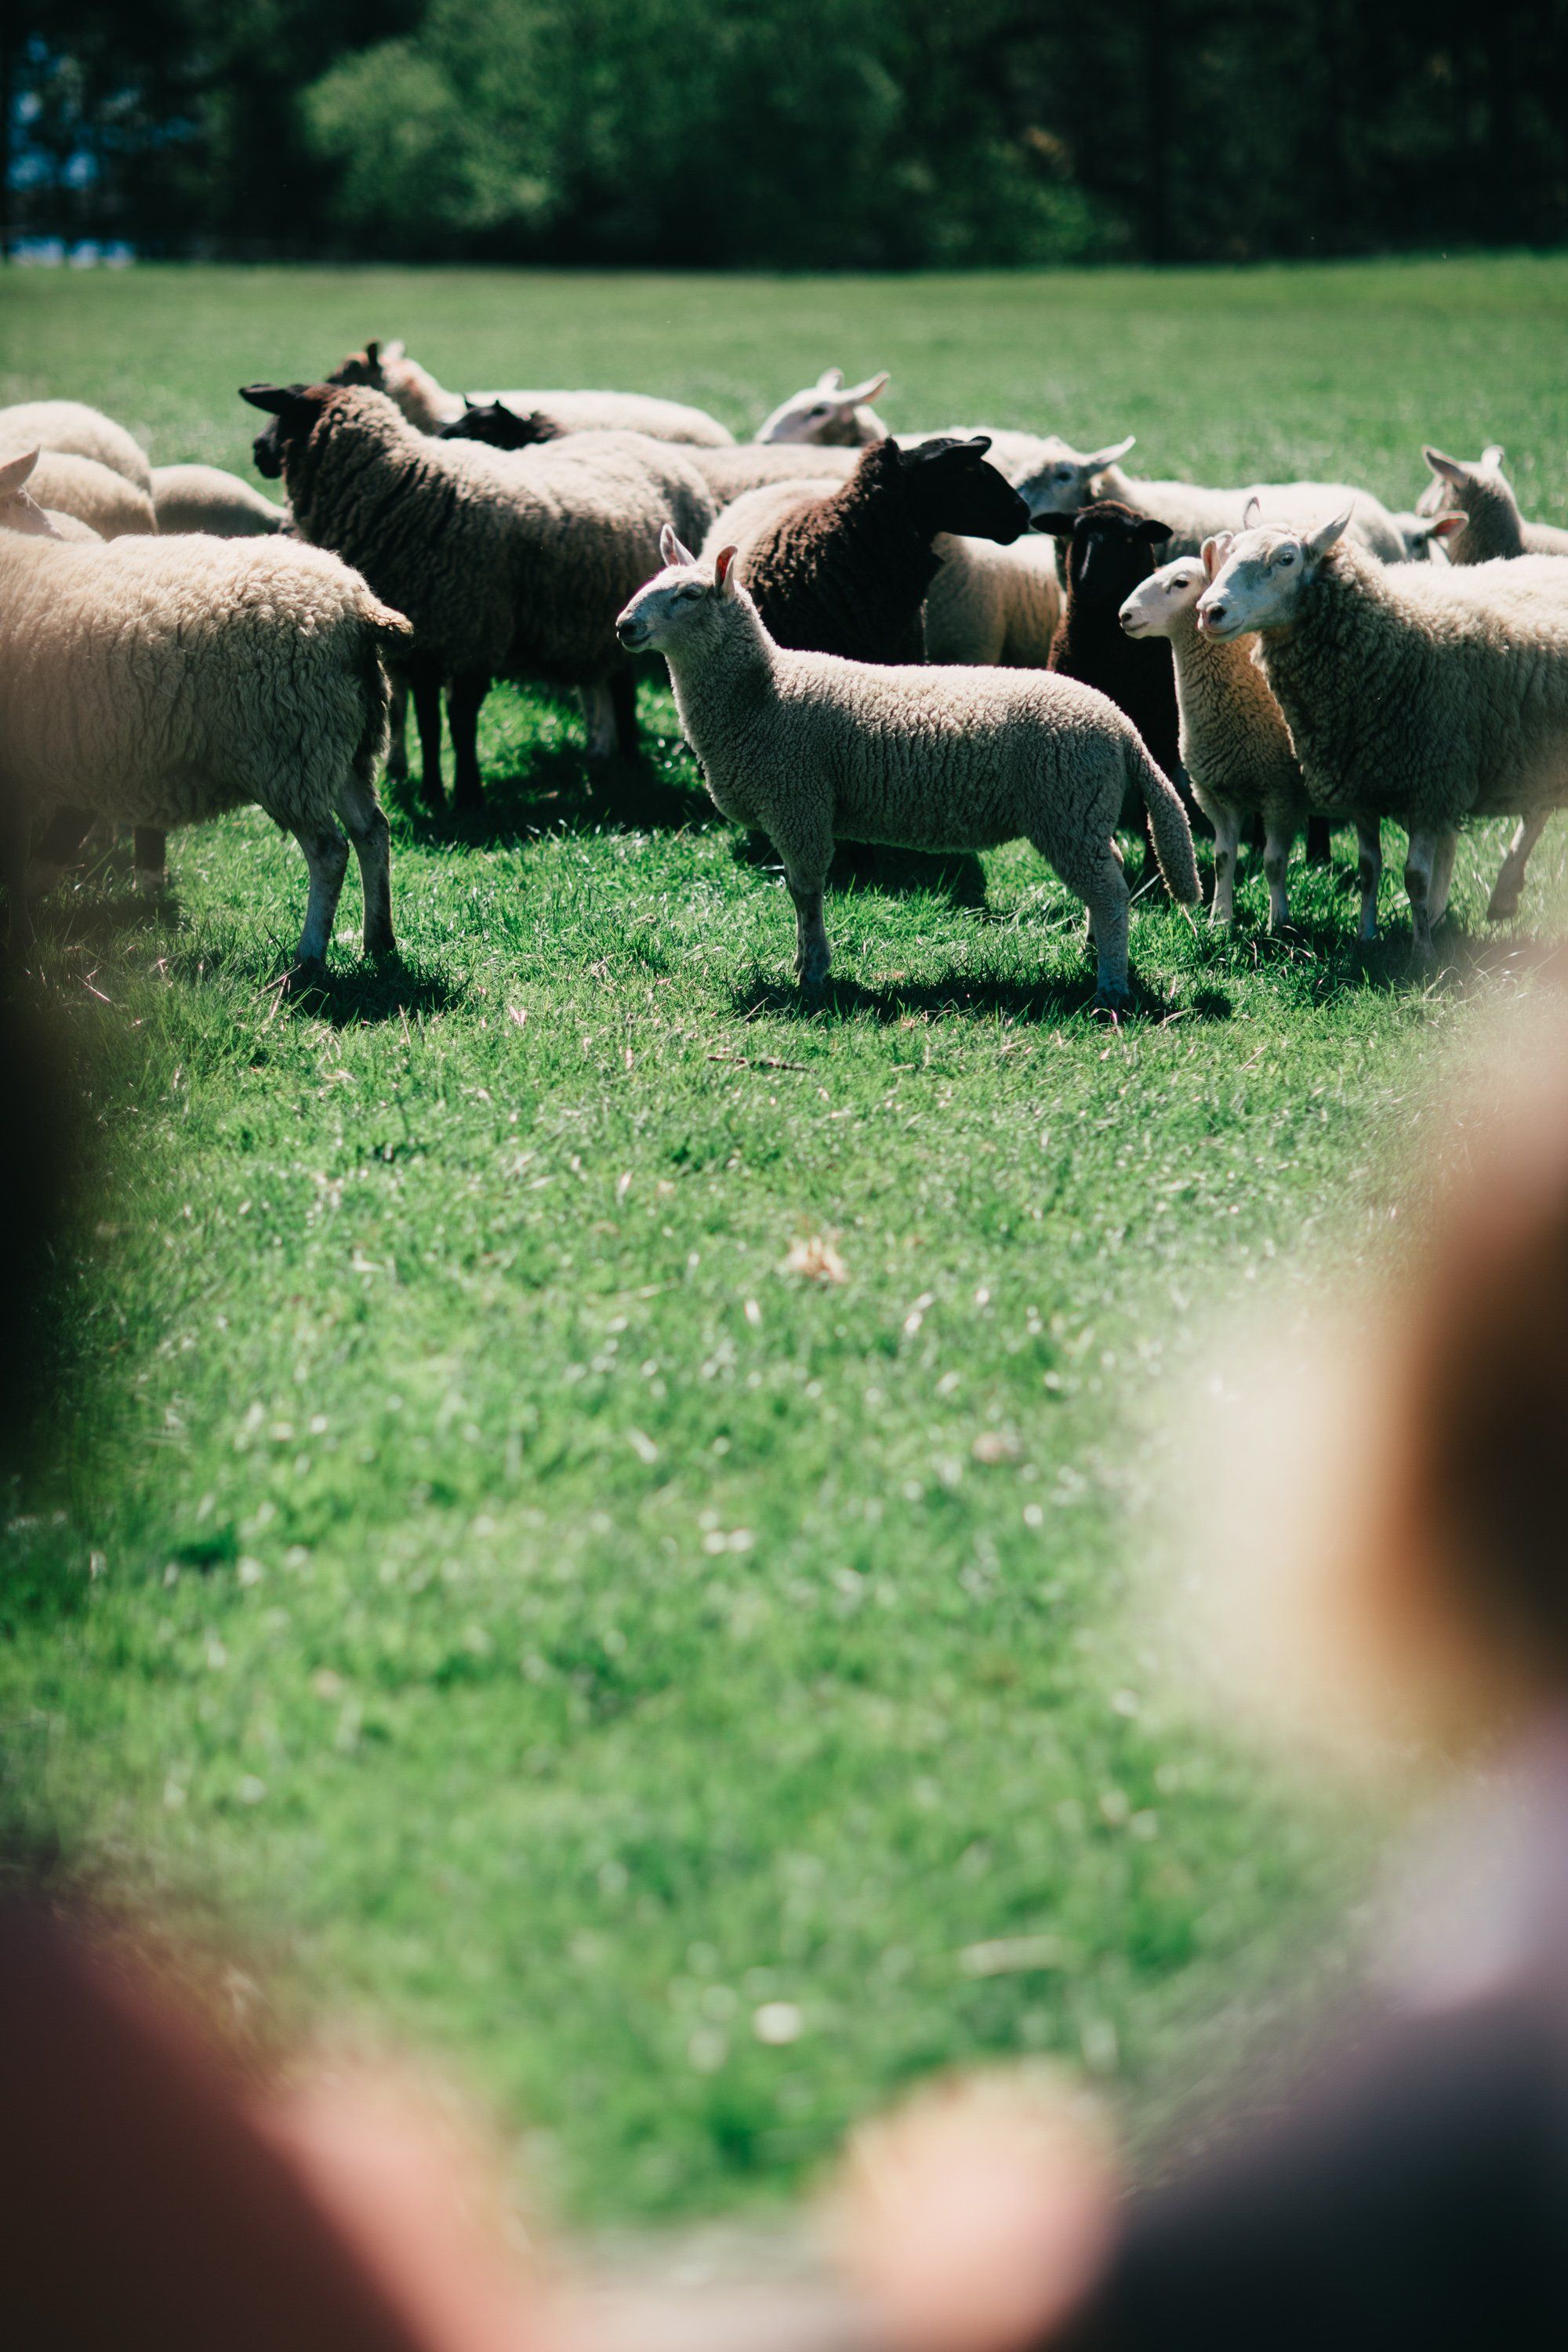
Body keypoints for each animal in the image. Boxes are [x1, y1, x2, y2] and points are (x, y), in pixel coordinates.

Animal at [242, 381, 718, 796]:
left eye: (285, 411)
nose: (257, 450)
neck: (405, 488)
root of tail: (645, 445)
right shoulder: (423, 645)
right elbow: (429, 723)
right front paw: (434, 792)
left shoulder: (472, 633)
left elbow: (461, 720)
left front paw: (469, 794)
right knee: (618, 680)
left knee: (621, 687)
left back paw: (631, 758)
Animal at [615, 525, 1199, 1009]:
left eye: (690, 595)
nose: (624, 627)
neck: (762, 694)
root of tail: (1119, 724)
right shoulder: (797, 806)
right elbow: (801, 893)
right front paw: (805, 963)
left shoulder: (798, 802)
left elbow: (806, 892)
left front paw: (812, 972)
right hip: (1083, 809)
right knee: (1111, 870)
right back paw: (1093, 948)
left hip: (1067, 803)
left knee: (1110, 891)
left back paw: (1112, 985)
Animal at [1119, 547, 1311, 928]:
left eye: (1181, 583)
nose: (1124, 615)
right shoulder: (1216, 794)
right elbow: (1223, 858)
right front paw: (1219, 919)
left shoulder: (1281, 794)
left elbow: (1273, 862)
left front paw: (1278, 921)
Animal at [1196, 503, 1568, 956]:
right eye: (1230, 552)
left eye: (1286, 559)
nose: (1209, 610)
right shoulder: (1362, 785)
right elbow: (1368, 868)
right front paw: (1367, 934)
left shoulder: (1430, 785)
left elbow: (1415, 877)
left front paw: (1422, 952)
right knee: (1537, 810)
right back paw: (1502, 896)